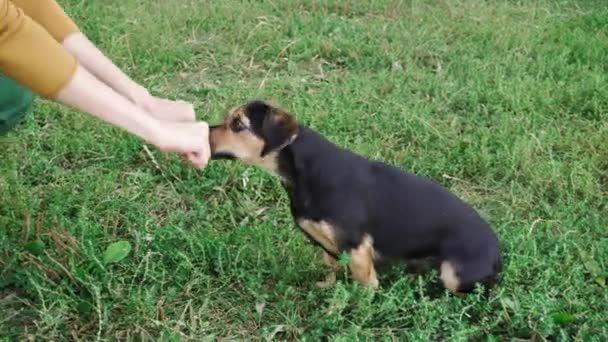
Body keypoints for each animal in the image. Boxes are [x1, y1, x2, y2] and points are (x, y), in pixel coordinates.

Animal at [207, 99, 502, 294]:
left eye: (237, 124)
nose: (204, 131)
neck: (305, 174)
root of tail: (500, 253)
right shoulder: (329, 248)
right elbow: (332, 270)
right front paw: (327, 289)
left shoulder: (358, 249)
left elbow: (365, 289)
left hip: (454, 274)